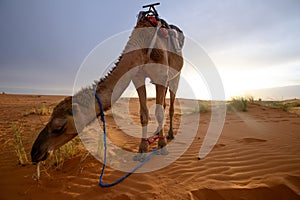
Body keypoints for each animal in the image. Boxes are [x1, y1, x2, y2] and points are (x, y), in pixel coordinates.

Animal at [31, 6, 185, 164]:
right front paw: (142, 150)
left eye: (59, 127)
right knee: (164, 104)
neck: (143, 45)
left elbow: (159, 112)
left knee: (170, 106)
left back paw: (170, 135)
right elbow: (144, 114)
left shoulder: (161, 75)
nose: (35, 152)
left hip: (175, 76)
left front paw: (163, 146)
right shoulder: (138, 77)